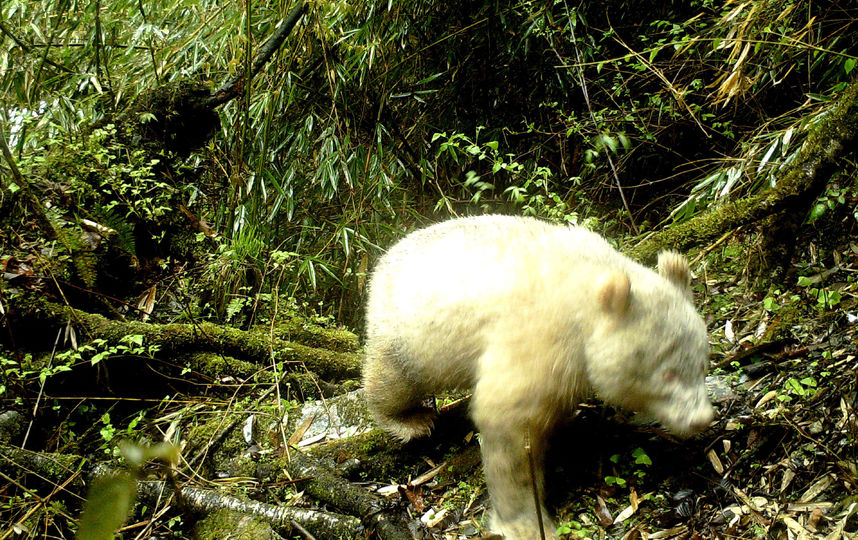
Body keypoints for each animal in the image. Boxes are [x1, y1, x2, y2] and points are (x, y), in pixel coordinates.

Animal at [360, 216, 708, 540]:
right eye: (668, 373)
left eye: (702, 362)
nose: (701, 418)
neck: (586, 289)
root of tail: (384, 259)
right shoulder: (539, 335)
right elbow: (508, 423)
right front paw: (524, 522)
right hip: (408, 332)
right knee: (393, 379)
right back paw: (409, 420)